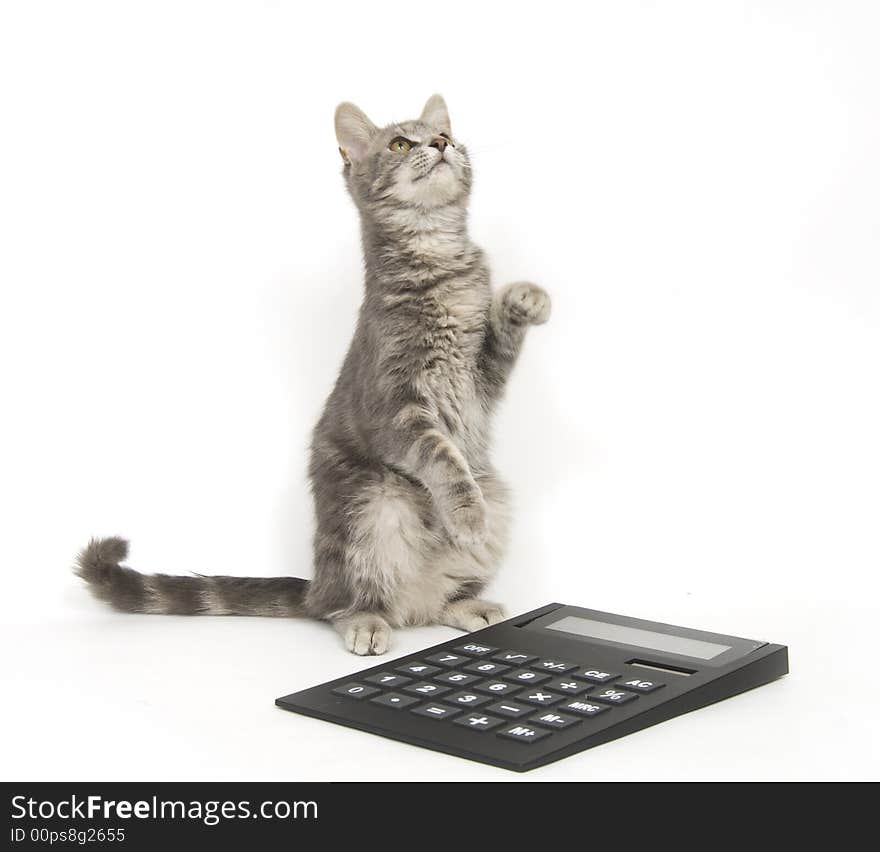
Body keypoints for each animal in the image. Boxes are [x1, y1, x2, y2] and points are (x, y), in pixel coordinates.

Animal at [79, 96, 552, 660]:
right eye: (400, 144)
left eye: (444, 135)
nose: (439, 144)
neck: (437, 257)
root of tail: (318, 586)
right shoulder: (394, 408)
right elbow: (442, 458)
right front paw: (465, 515)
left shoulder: (481, 380)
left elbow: (502, 340)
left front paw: (525, 300)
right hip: (369, 505)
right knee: (343, 603)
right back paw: (366, 620)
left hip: (495, 494)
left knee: (432, 600)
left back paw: (463, 603)